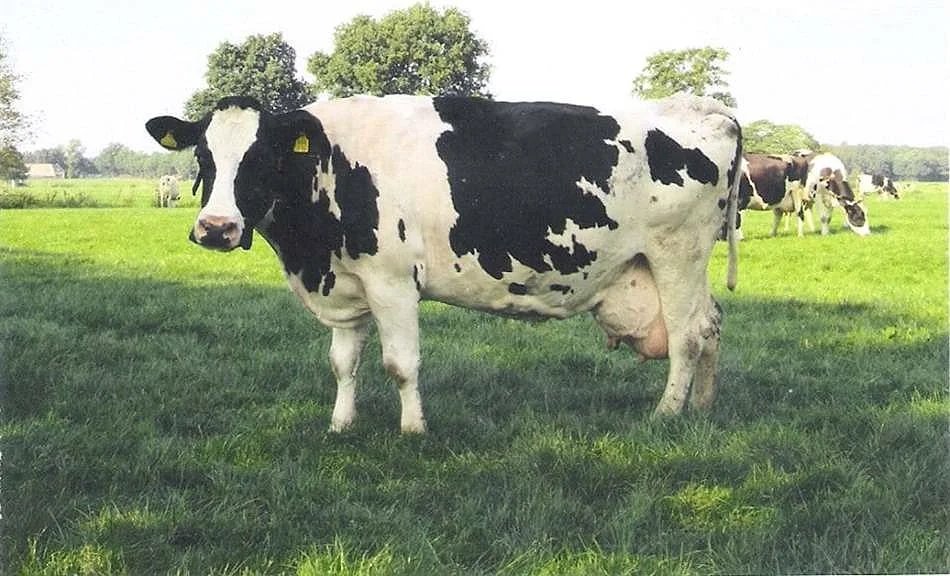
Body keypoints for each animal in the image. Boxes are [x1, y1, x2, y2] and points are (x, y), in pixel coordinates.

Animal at [146, 93, 741, 433]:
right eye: (204, 156)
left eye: (263, 158)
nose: (216, 228)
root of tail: (701, 108)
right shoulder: (348, 281)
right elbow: (343, 363)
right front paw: (341, 425)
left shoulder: (391, 283)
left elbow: (399, 364)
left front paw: (414, 430)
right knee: (711, 324)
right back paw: (704, 406)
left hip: (677, 254)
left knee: (688, 335)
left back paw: (667, 413)